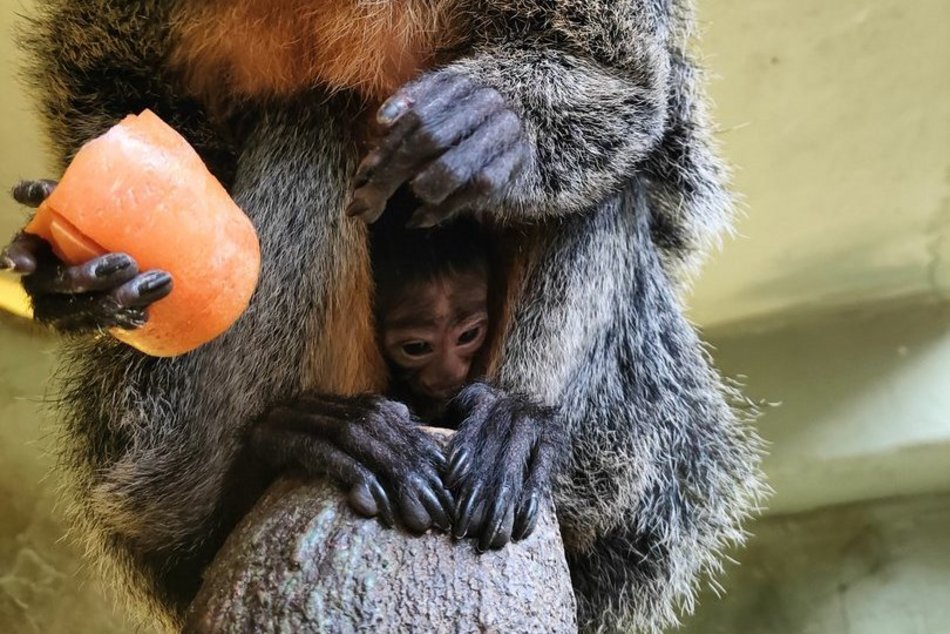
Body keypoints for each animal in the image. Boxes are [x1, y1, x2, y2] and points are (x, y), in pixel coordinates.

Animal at [3, 1, 768, 632]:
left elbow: (628, 84)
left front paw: (496, 125)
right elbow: (118, 91)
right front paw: (71, 278)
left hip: (630, 443)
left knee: (608, 184)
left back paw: (514, 429)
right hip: (163, 444)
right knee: (308, 121)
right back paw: (304, 440)